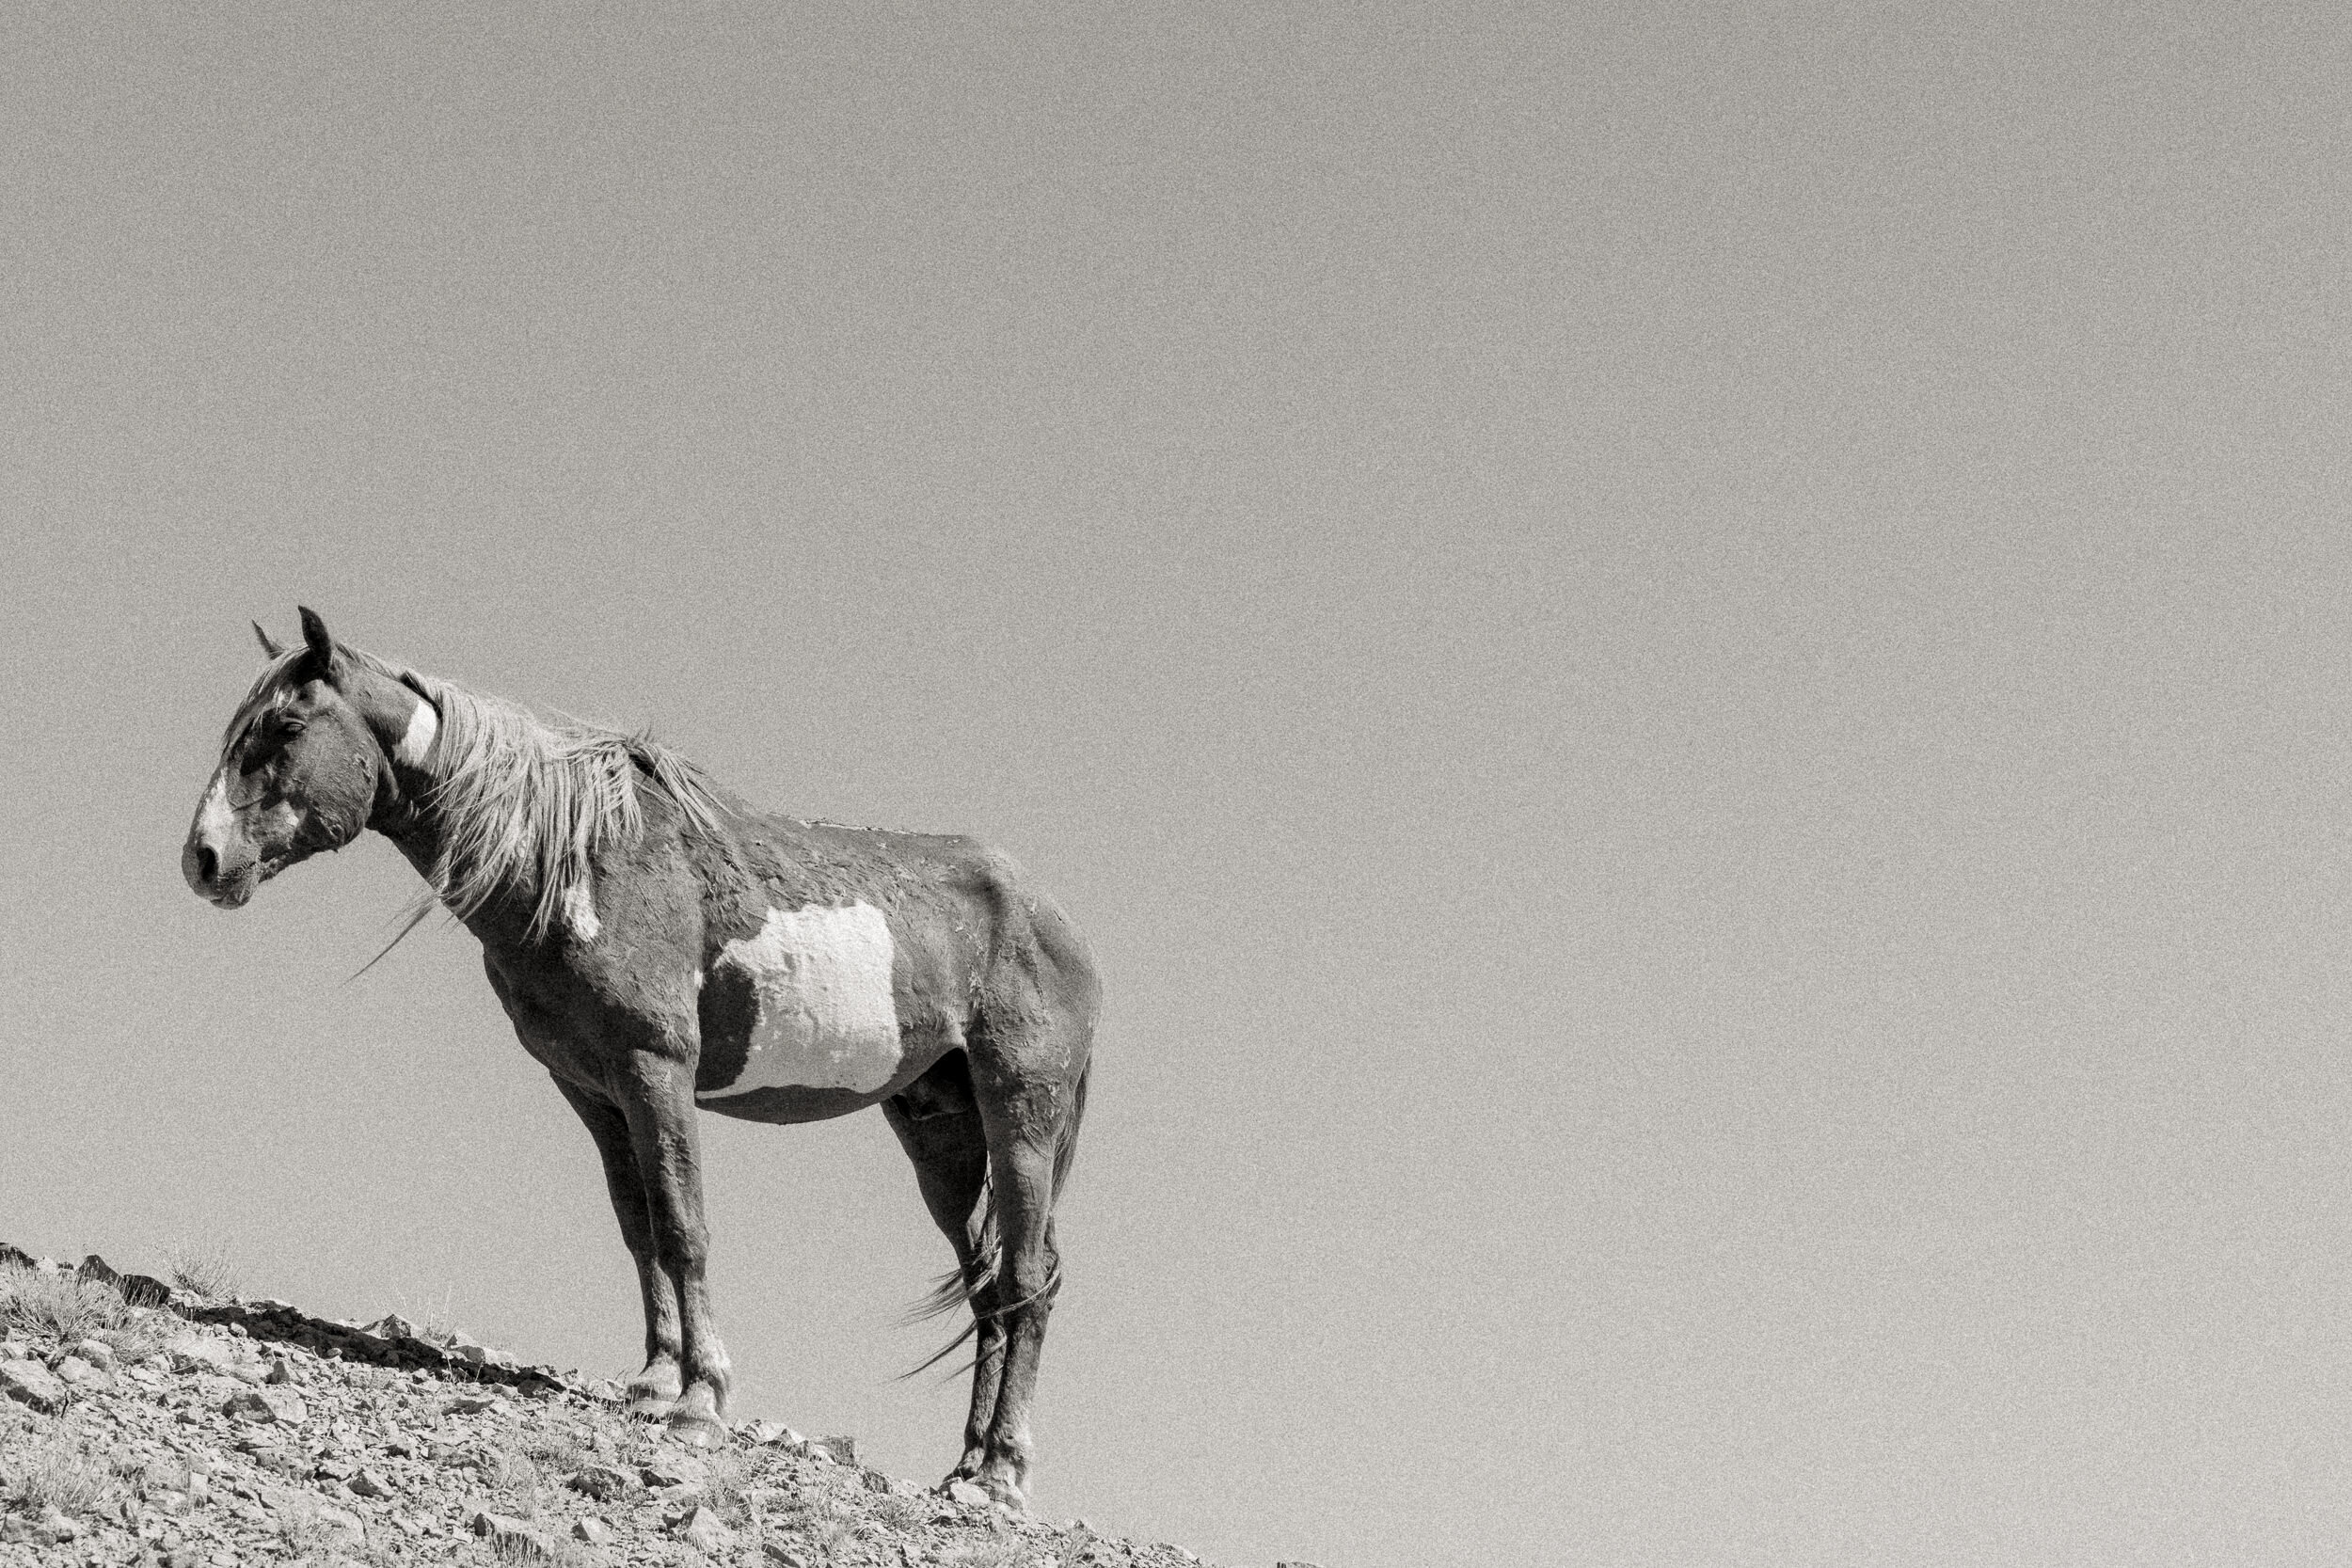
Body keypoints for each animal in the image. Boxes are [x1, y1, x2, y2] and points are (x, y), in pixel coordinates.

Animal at [183, 610, 1101, 1504]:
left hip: (1022, 1112)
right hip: (938, 1130)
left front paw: (701, 1397)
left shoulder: (655, 1068)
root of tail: (1062, 924)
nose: (203, 858)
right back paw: (967, 1465)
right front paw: (657, 1382)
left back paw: (1003, 1475)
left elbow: (684, 1223)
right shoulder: (592, 1089)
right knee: (986, 1281)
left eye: (287, 724)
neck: (575, 860)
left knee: (1027, 1275)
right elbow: (640, 1228)